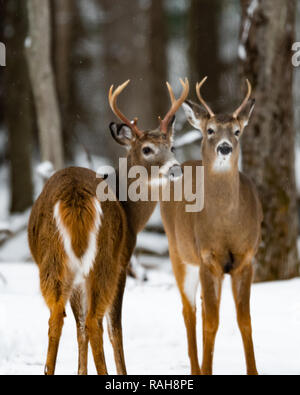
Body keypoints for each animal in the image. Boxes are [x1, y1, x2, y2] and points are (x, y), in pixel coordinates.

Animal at [27, 78, 188, 378]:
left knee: (58, 317)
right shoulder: (123, 261)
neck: (130, 211)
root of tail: (74, 196)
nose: (175, 169)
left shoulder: (78, 276)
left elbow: (79, 327)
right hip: (104, 258)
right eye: (146, 149)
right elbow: (113, 328)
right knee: (95, 321)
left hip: (53, 259)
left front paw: (81, 372)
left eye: (172, 147)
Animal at [161, 78, 262, 378]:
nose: (225, 147)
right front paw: (206, 369)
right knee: (190, 311)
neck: (227, 224)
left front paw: (254, 371)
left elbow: (244, 320)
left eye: (238, 131)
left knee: (203, 309)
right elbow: (211, 322)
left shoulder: (245, 259)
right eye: (210, 130)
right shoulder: (207, 257)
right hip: (179, 254)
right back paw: (196, 368)